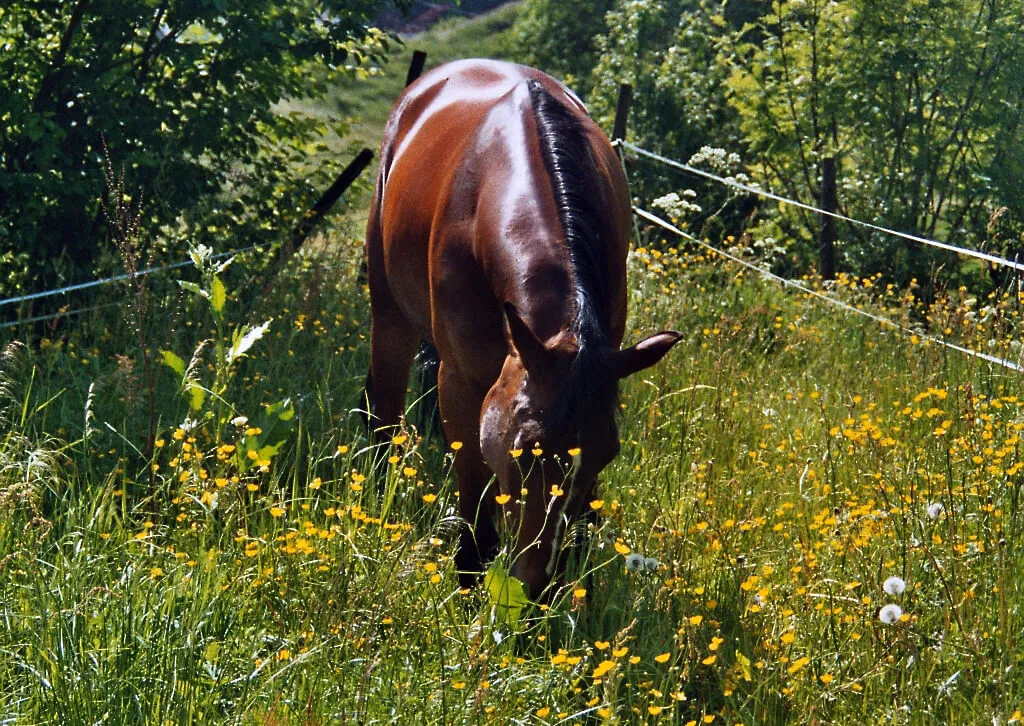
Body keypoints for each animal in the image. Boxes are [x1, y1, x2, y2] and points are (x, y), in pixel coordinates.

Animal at [364, 59, 681, 600]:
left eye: (608, 454)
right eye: (526, 450)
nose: (538, 585)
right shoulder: (463, 381)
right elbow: (473, 479)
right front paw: (469, 574)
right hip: (389, 316)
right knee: (384, 408)